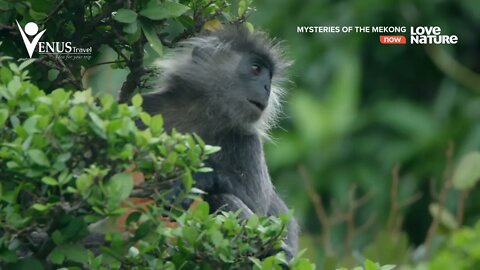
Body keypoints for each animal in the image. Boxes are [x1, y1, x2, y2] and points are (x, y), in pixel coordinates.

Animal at [140, 25, 296, 258]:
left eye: (269, 76)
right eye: (256, 69)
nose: (267, 87)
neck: (203, 113)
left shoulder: (248, 141)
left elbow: (258, 209)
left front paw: (196, 177)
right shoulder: (147, 106)